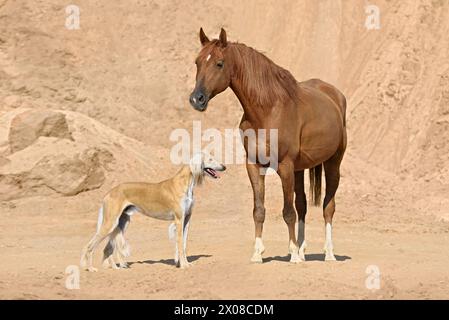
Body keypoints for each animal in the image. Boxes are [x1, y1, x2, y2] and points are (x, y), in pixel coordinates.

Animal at [79, 152, 224, 270]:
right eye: (210, 159)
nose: (224, 167)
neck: (184, 183)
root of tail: (108, 193)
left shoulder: (187, 219)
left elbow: (183, 244)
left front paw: (184, 263)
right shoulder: (179, 219)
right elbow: (179, 243)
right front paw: (183, 266)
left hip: (121, 223)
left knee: (106, 248)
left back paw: (115, 268)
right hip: (110, 223)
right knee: (89, 246)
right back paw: (90, 268)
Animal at [189, 28, 346, 262]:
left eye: (219, 63)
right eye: (197, 62)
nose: (196, 99)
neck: (267, 110)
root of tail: (335, 95)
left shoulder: (285, 166)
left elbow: (288, 212)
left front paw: (293, 255)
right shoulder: (254, 166)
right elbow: (259, 210)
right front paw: (258, 253)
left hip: (332, 163)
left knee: (328, 206)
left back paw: (328, 253)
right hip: (300, 170)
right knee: (302, 204)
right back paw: (302, 249)